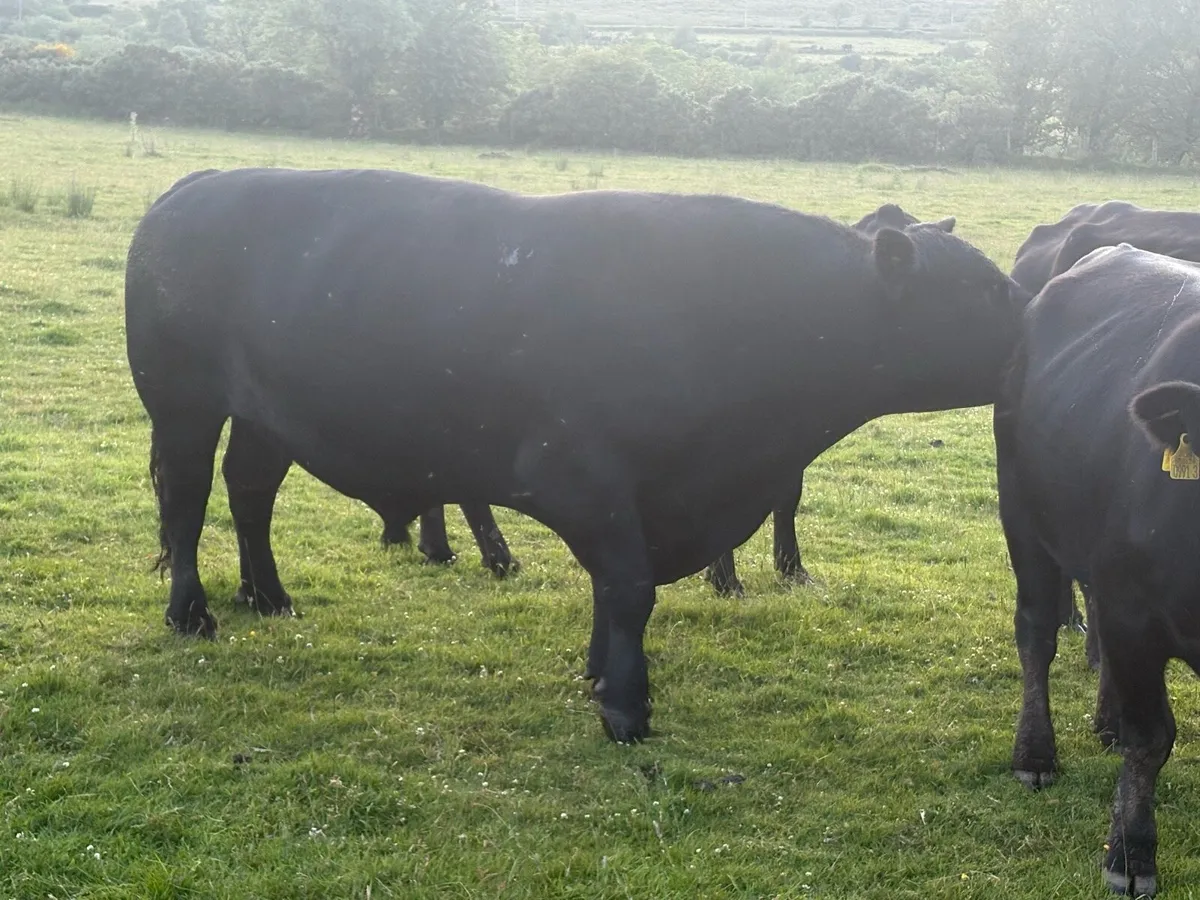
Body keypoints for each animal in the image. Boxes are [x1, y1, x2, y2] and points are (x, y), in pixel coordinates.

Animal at [126, 168, 1029, 743]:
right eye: (989, 291)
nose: (1041, 313)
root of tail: (193, 187)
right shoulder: (583, 478)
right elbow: (627, 589)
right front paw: (626, 707)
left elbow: (611, 590)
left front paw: (598, 676)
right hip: (183, 408)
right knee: (188, 503)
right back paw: (192, 611)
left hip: (264, 418)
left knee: (250, 495)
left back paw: (268, 595)